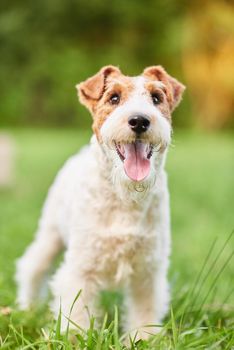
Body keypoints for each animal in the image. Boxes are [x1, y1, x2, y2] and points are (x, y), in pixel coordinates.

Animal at [15, 65, 186, 340]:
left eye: (156, 98)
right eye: (114, 98)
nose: (139, 121)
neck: (126, 197)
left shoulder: (148, 270)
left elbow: (144, 312)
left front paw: (142, 340)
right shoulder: (81, 268)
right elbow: (76, 314)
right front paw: (74, 339)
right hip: (50, 234)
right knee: (32, 265)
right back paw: (27, 307)